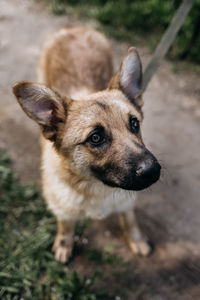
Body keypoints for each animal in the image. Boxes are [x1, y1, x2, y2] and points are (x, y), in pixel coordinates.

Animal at [12, 27, 160, 264]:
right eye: (96, 138)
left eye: (134, 123)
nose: (153, 171)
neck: (95, 187)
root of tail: (73, 28)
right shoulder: (63, 209)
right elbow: (66, 225)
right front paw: (65, 244)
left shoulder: (126, 203)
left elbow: (129, 219)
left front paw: (136, 239)